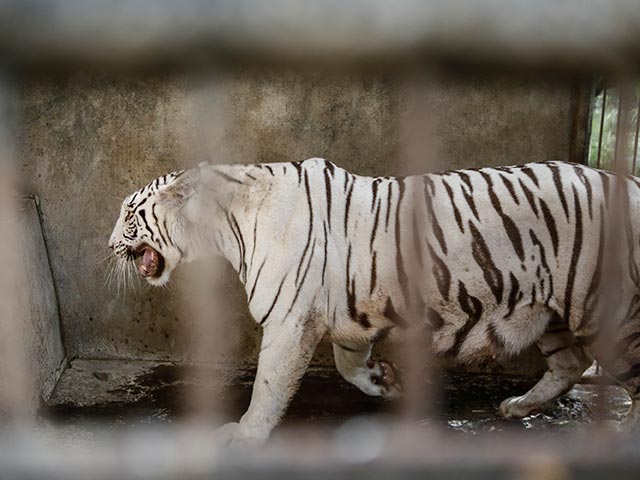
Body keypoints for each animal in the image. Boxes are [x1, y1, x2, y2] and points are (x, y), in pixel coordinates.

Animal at [110, 158, 640, 446]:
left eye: (131, 214)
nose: (109, 244)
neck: (226, 228)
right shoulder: (348, 315)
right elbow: (349, 365)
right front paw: (385, 381)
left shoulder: (288, 321)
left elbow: (268, 384)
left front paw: (245, 434)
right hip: (550, 312)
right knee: (570, 364)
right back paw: (517, 406)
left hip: (608, 311)